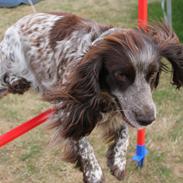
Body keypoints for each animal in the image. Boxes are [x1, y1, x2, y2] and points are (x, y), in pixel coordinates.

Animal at [0, 12, 183, 182]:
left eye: (152, 74)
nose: (147, 119)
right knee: (5, 77)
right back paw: (16, 81)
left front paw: (119, 159)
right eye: (121, 75)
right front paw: (93, 172)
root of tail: (15, 25)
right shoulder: (68, 105)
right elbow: (81, 142)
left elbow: (124, 131)